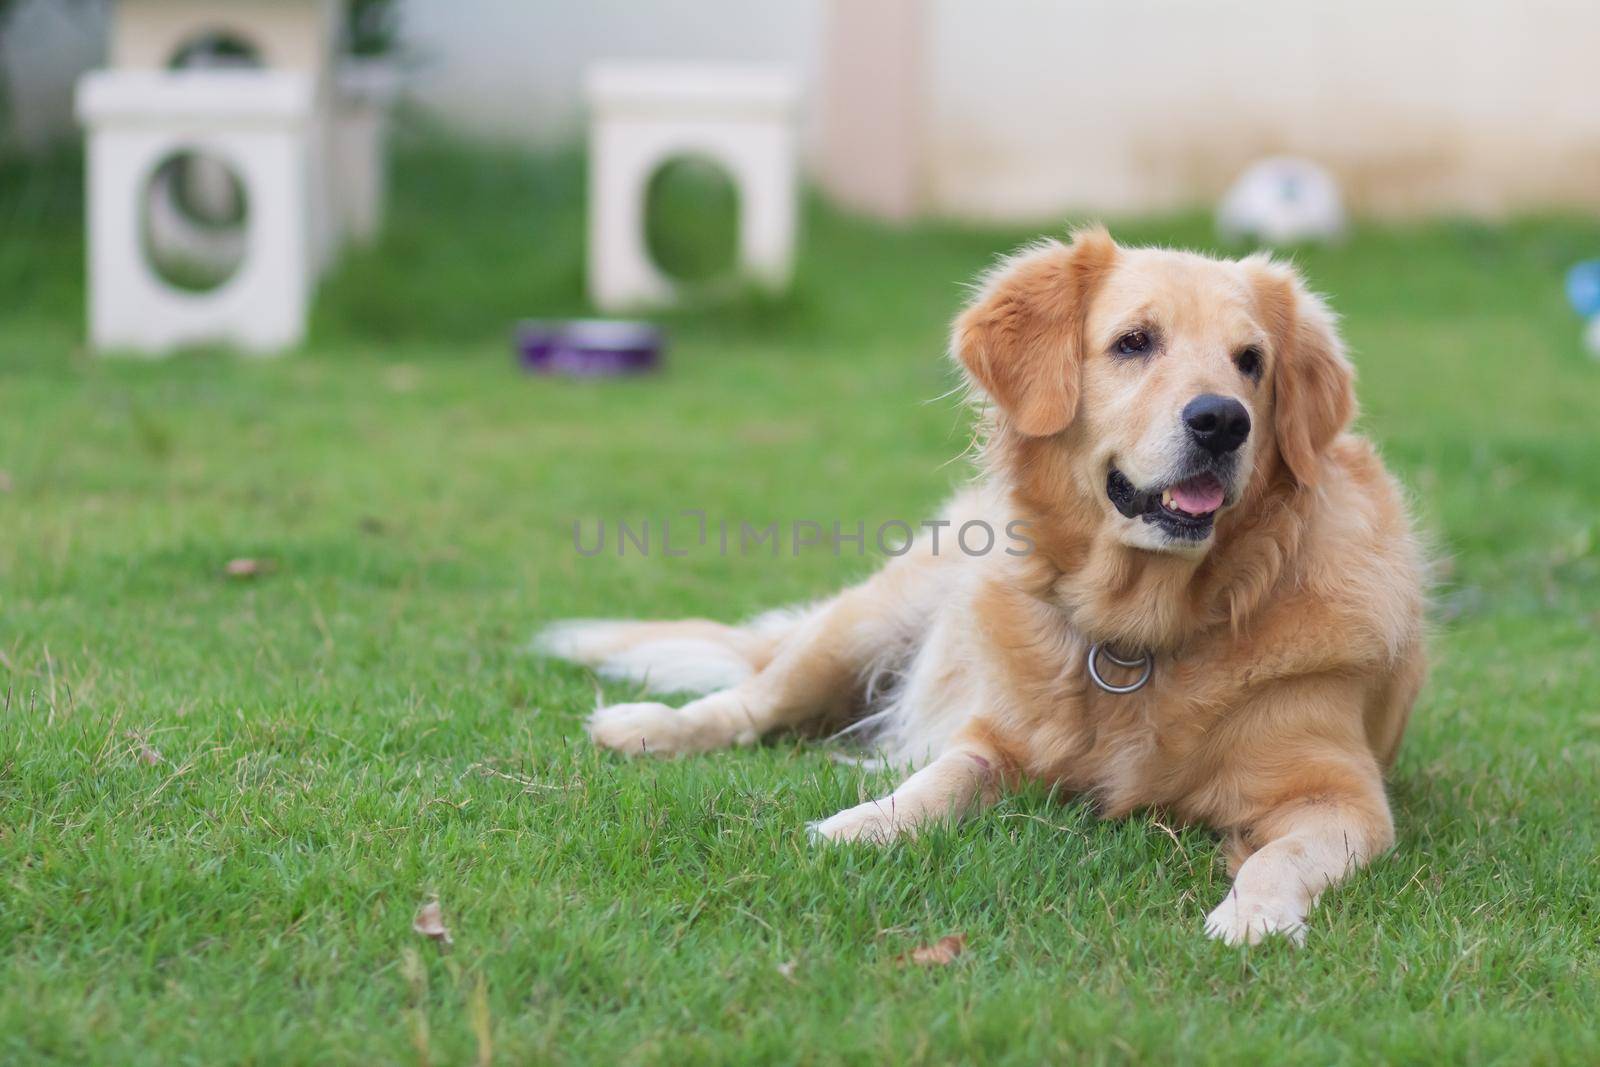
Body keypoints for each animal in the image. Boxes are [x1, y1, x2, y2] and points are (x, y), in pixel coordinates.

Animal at [537, 230, 1427, 947]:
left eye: (1252, 362)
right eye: (1134, 342)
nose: (1222, 420)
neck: (1140, 634)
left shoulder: (1344, 796)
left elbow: (1280, 854)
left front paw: (1255, 914)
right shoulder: (993, 738)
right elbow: (934, 781)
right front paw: (859, 825)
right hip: (863, 622)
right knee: (751, 698)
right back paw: (644, 725)